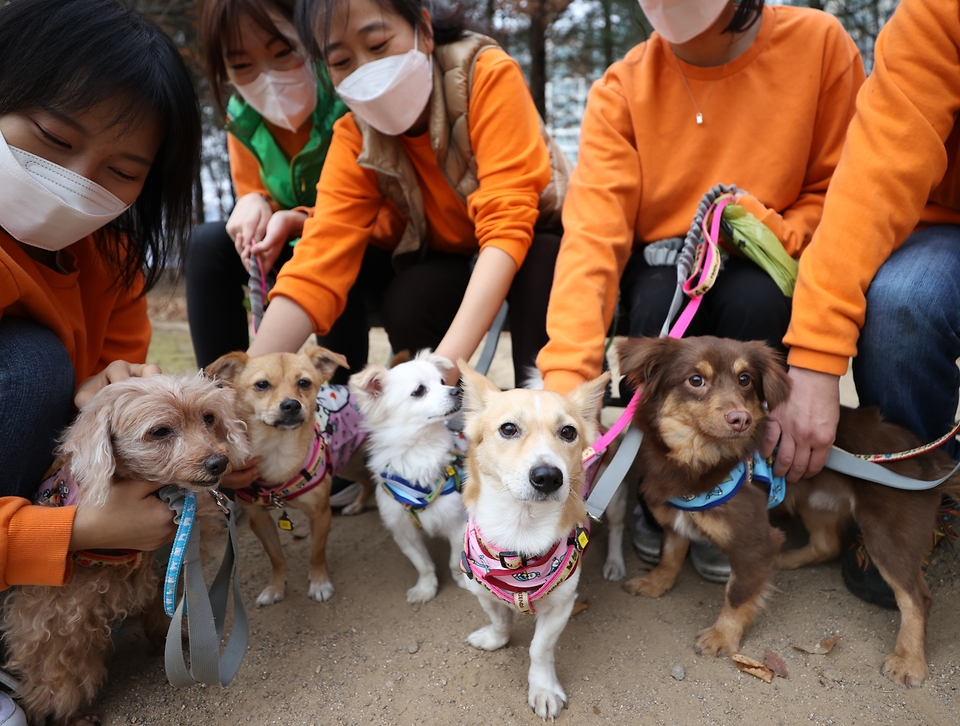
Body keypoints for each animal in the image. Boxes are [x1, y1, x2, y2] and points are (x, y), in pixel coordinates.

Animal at [208, 346, 374, 608]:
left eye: (304, 382)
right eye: (262, 384)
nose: (291, 405)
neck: (278, 451)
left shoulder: (320, 514)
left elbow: (316, 552)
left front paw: (319, 583)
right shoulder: (260, 521)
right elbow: (276, 557)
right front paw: (275, 587)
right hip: (347, 461)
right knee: (366, 480)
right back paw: (356, 506)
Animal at [348, 352, 468, 608]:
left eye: (443, 381)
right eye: (419, 390)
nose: (456, 390)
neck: (419, 451)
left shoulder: (457, 522)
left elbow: (454, 559)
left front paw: (462, 579)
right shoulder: (403, 532)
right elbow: (422, 564)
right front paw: (426, 588)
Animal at [458, 364, 608, 724]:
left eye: (568, 432)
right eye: (508, 429)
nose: (548, 476)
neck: (520, 533)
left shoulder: (561, 607)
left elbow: (540, 649)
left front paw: (543, 689)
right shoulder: (484, 594)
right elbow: (500, 621)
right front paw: (496, 639)